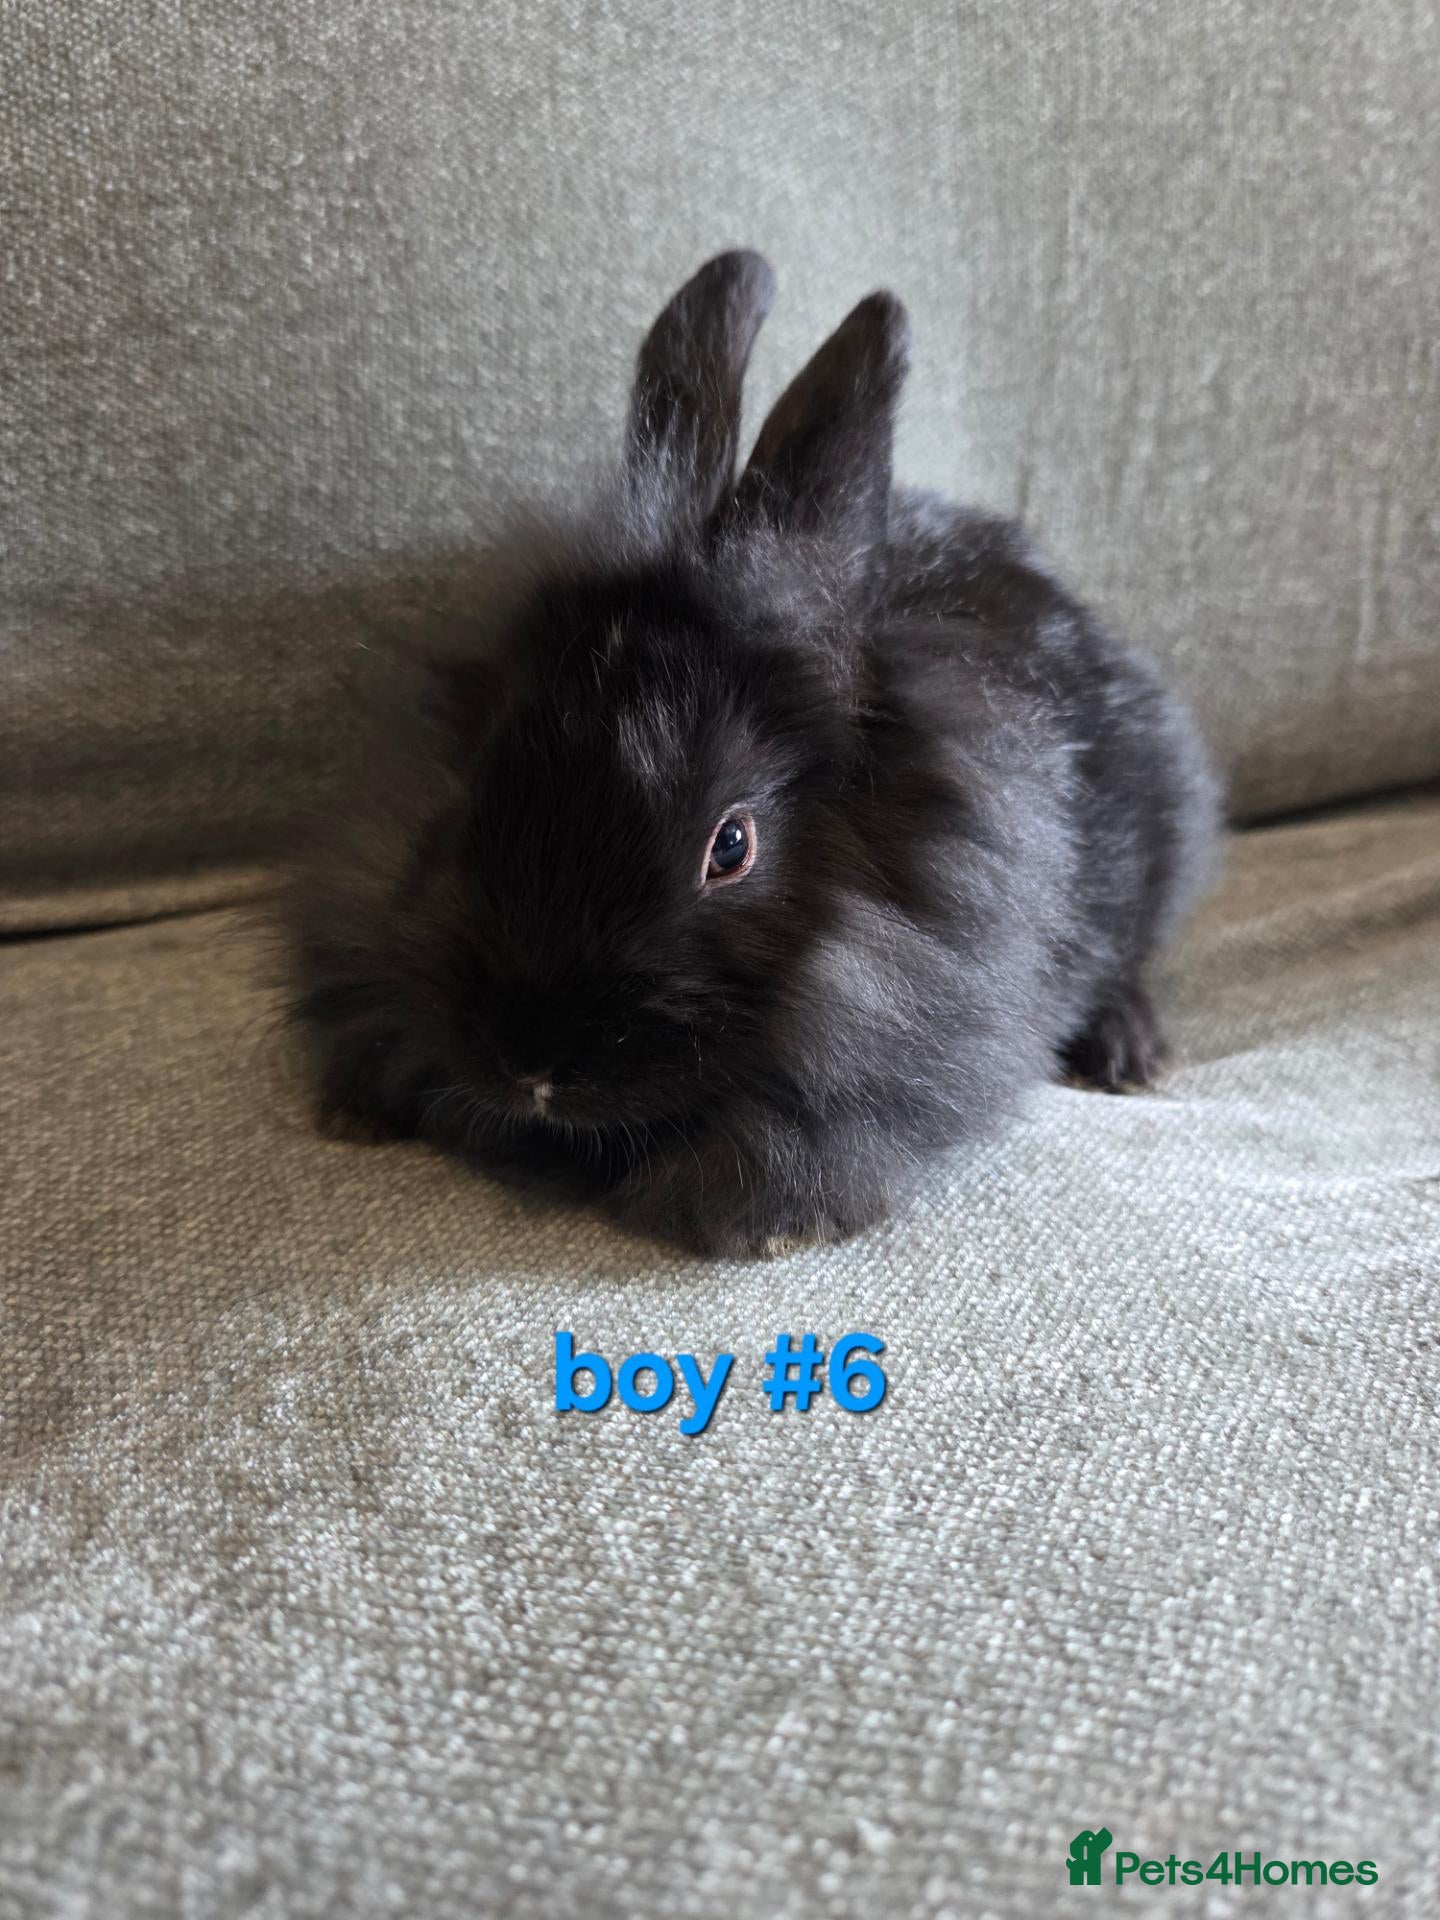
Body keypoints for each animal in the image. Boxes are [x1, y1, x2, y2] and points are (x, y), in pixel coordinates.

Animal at [287, 249, 1222, 1257]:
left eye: (730, 848)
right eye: (470, 800)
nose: (531, 1065)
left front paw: (773, 1227)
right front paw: (357, 1112)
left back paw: (1131, 1053)